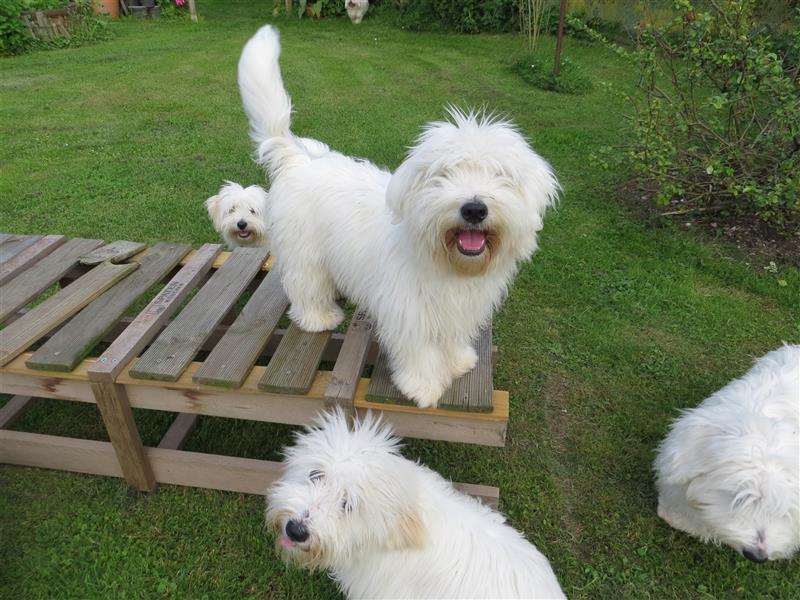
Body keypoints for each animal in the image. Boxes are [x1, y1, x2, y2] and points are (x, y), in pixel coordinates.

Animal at [238, 24, 556, 408]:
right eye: (443, 174)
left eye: (500, 175)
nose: (474, 208)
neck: (446, 261)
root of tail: (299, 159)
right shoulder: (408, 307)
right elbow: (419, 349)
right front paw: (423, 386)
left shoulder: (460, 307)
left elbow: (452, 336)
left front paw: (458, 360)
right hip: (304, 251)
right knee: (305, 284)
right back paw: (318, 317)